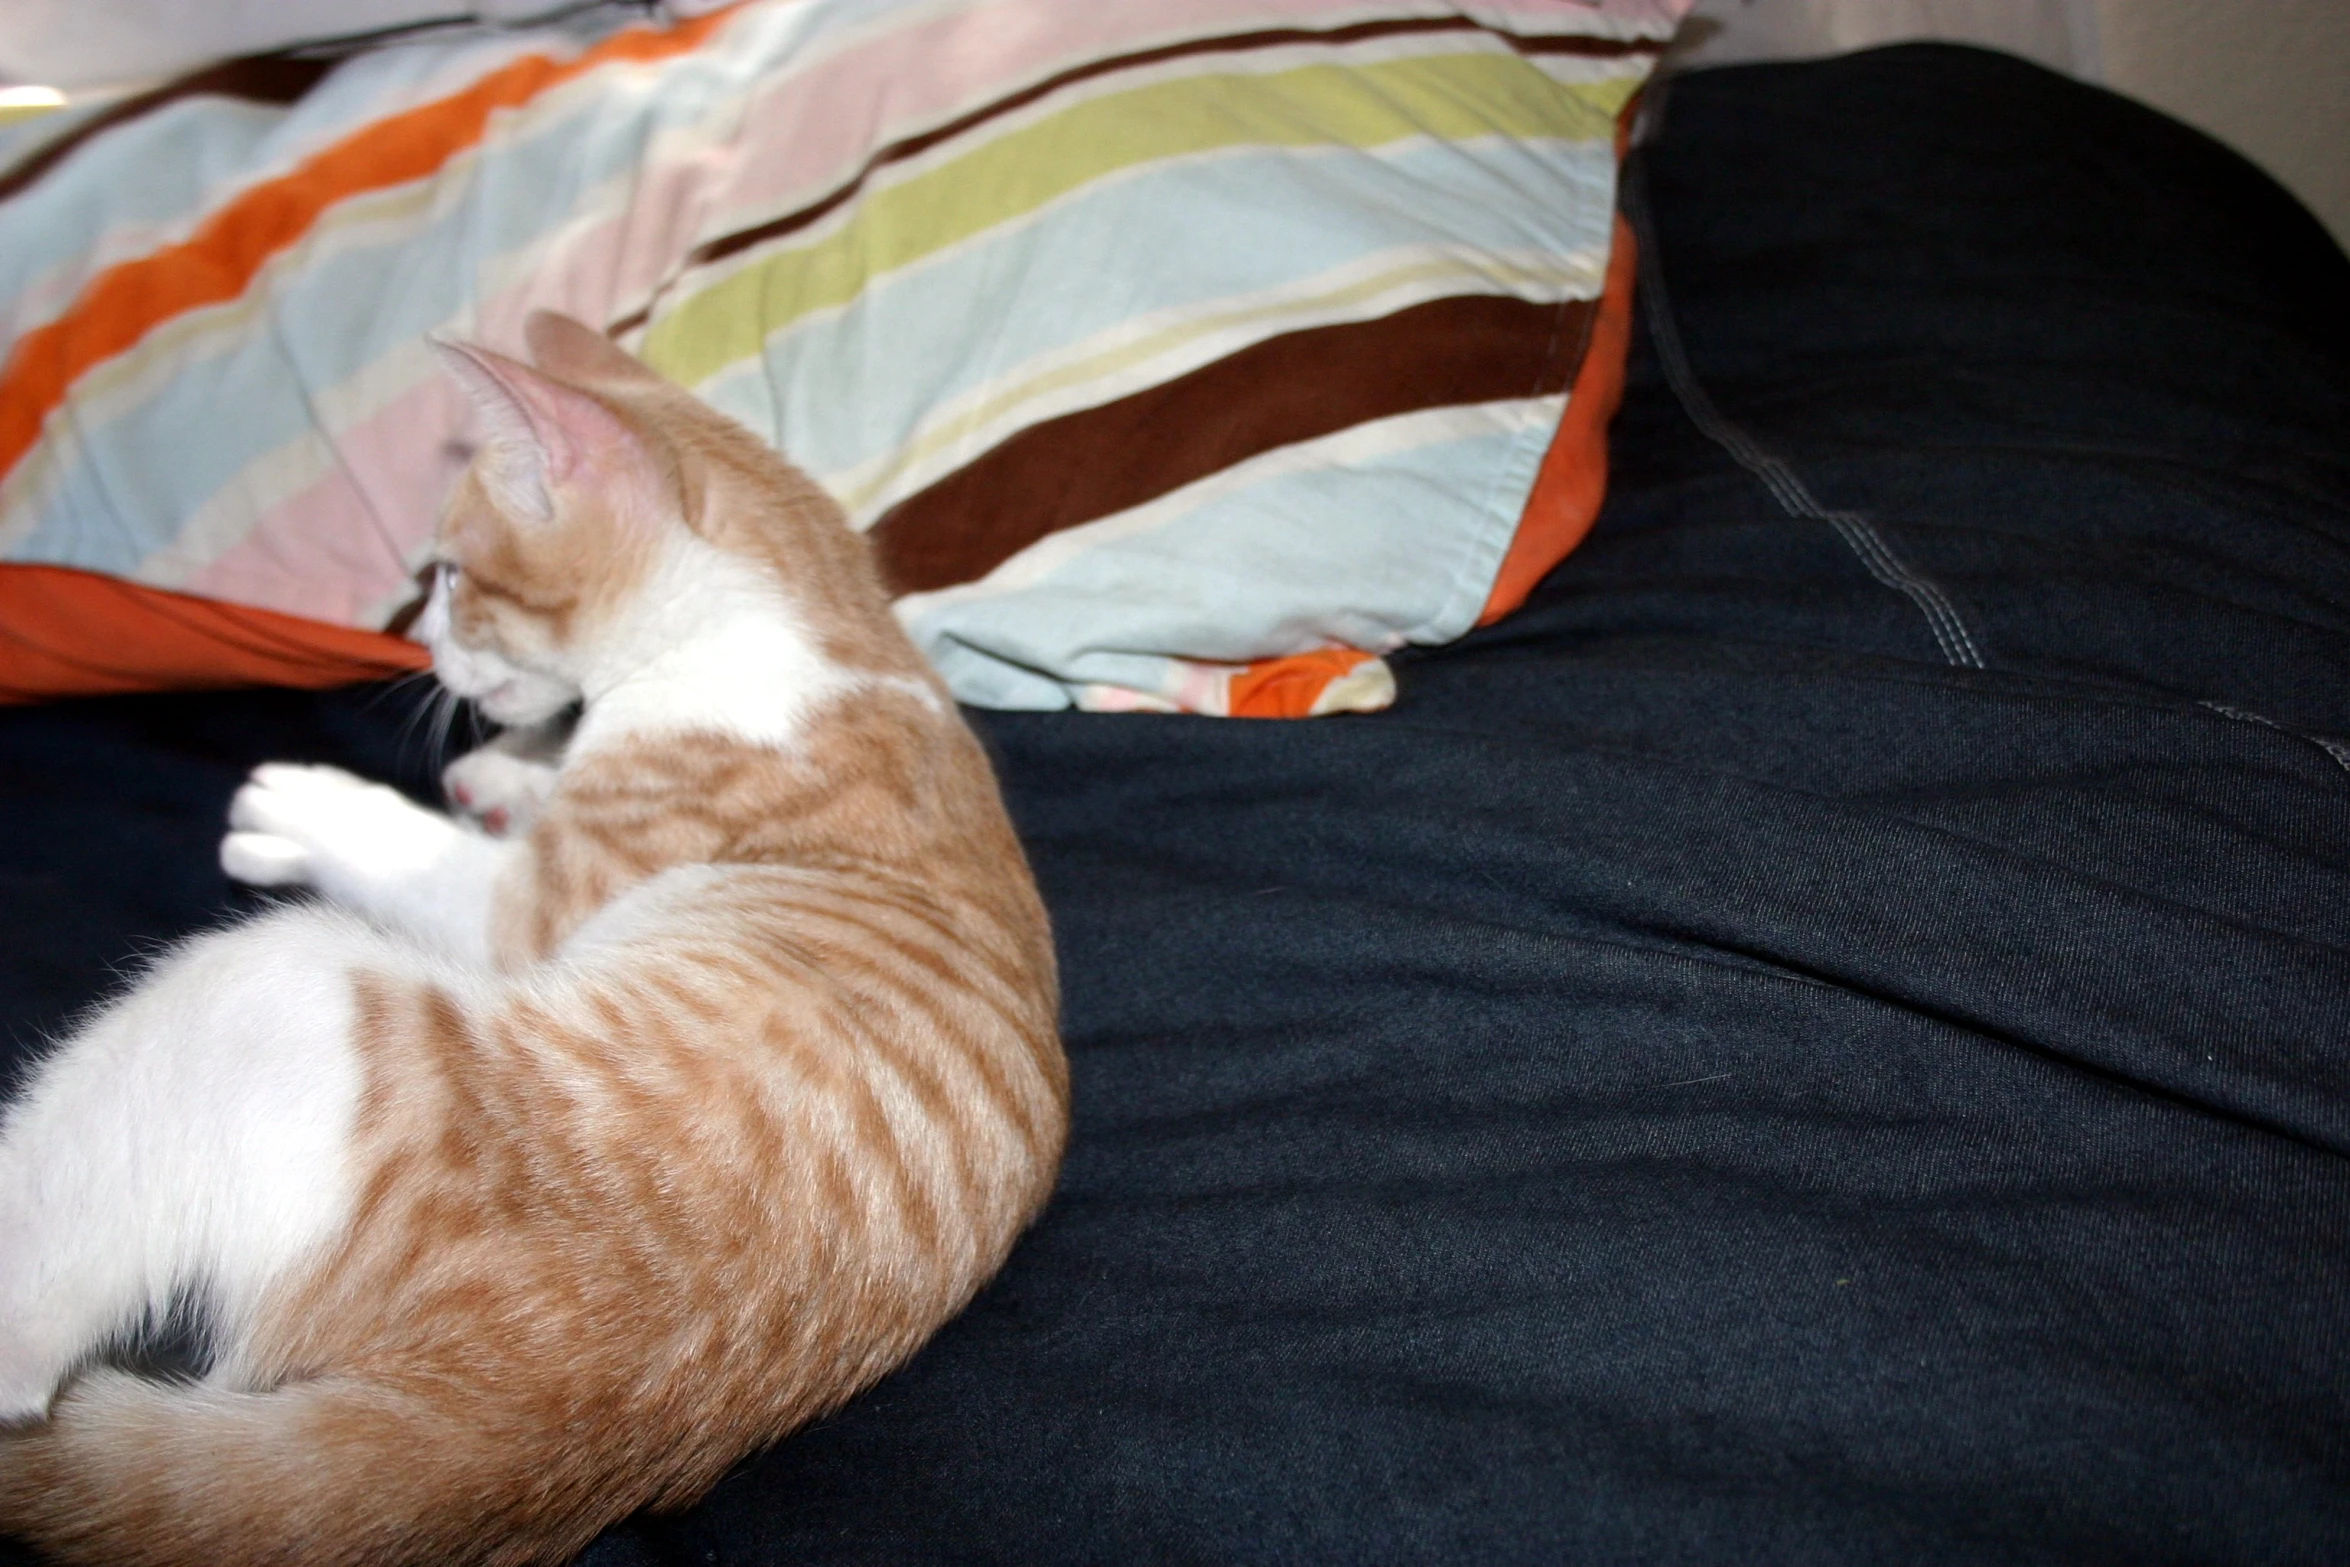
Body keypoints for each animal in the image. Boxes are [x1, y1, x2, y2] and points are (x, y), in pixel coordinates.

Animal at [0, 312, 1057, 1559]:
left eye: (453, 574)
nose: (426, 647)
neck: (816, 620)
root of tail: (537, 1423)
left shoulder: (535, 905)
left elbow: (435, 863)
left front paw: (308, 806)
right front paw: (505, 772)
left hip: (262, 992)